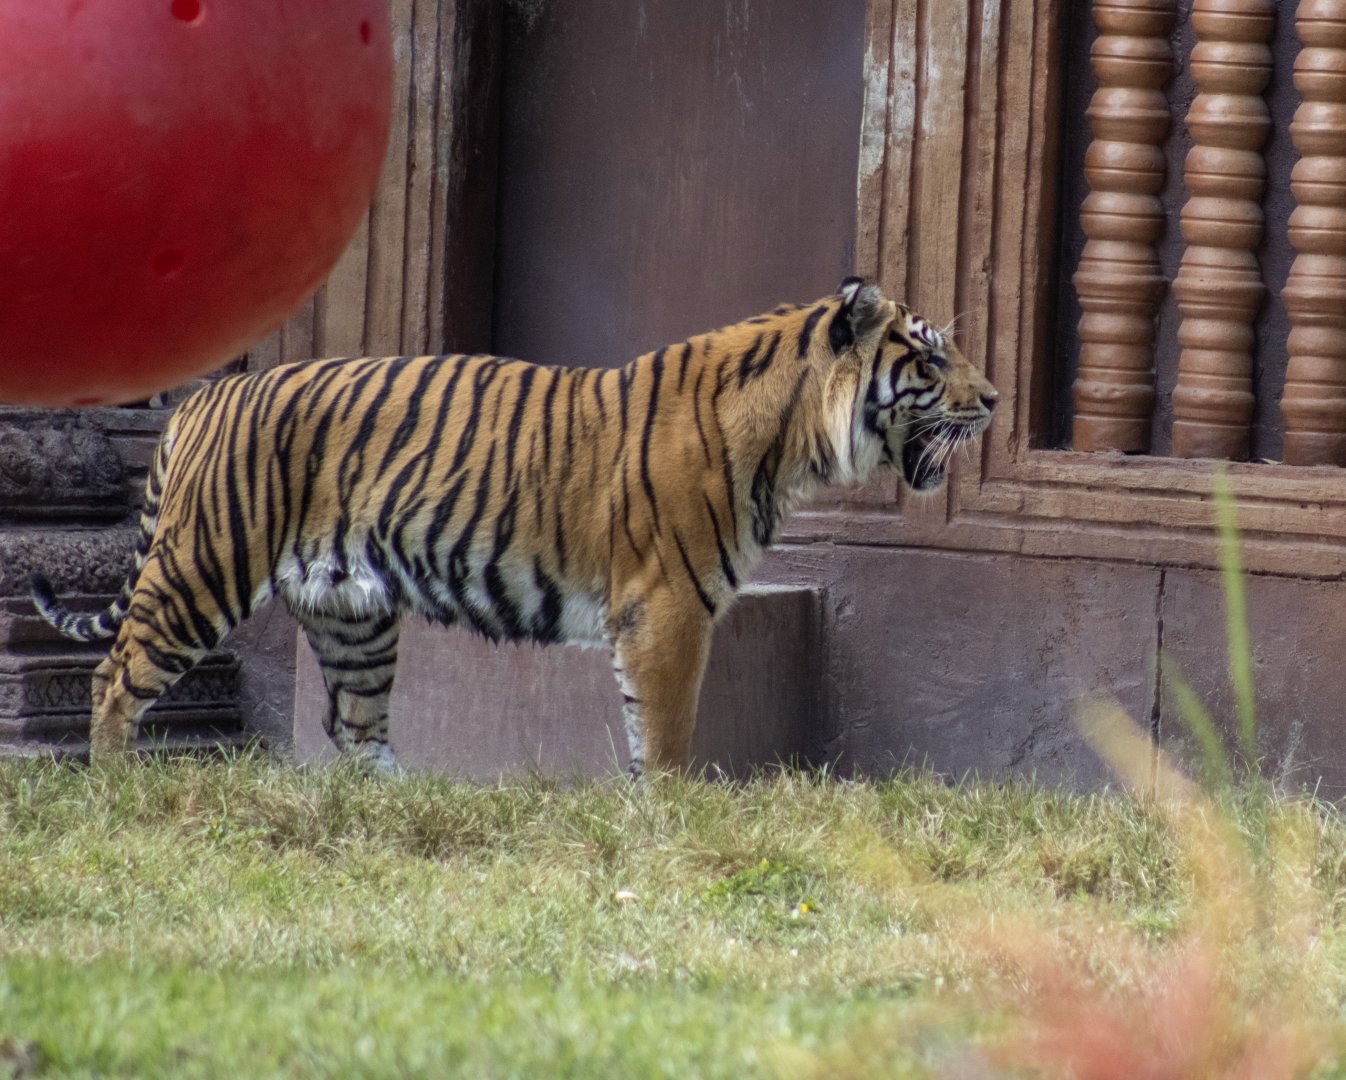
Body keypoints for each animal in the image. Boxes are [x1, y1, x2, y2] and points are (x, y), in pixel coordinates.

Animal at [31, 277, 997, 777]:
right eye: (932, 356)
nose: (992, 399)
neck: (795, 443)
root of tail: (202, 397)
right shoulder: (668, 609)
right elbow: (669, 736)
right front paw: (676, 825)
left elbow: (645, 730)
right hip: (204, 568)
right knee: (113, 679)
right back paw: (116, 795)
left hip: (353, 619)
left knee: (355, 730)